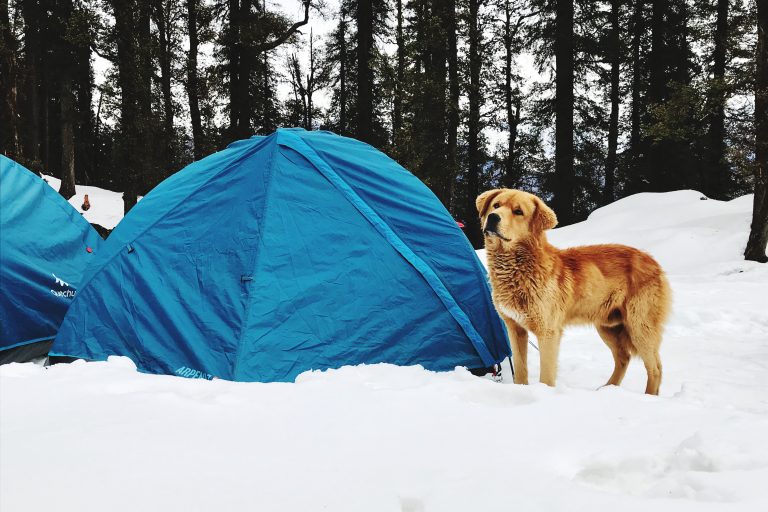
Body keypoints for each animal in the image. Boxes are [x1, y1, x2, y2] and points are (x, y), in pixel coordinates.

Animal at [476, 190, 668, 394]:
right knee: (624, 358)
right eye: (496, 205)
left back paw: (648, 396)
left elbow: (546, 376)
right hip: (608, 327)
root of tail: (653, 261)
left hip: (639, 327)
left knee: (655, 368)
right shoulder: (515, 329)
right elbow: (520, 372)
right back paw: (607, 389)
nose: (493, 217)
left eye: (518, 211)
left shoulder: (548, 332)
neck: (518, 267)